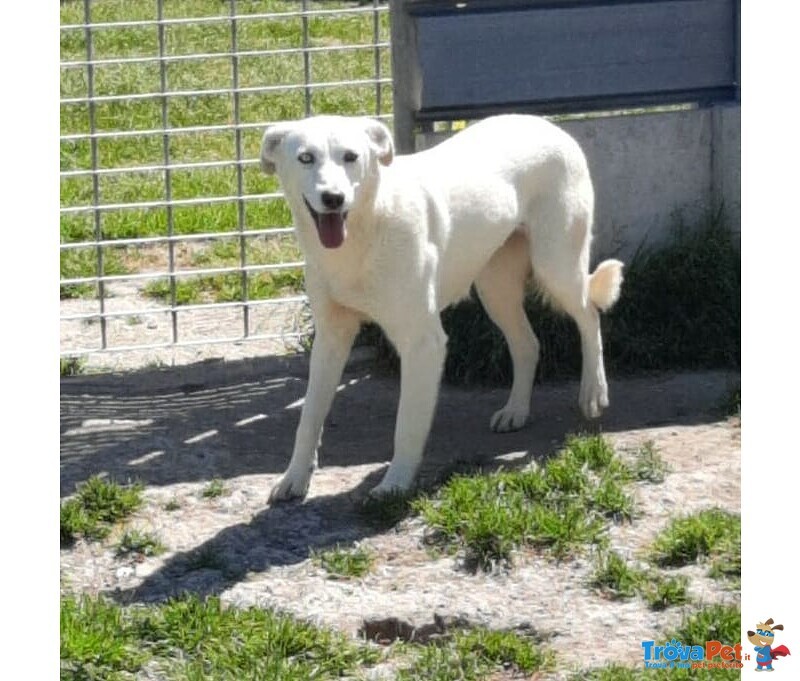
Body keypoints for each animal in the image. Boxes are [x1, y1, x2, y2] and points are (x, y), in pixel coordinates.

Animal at [260, 115, 620, 500]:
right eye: (306, 158)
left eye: (351, 156)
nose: (333, 198)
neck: (363, 233)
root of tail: (547, 123)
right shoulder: (331, 339)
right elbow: (308, 418)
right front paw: (294, 477)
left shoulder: (423, 343)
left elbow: (406, 424)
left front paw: (396, 484)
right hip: (495, 289)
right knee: (528, 344)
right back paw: (516, 410)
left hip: (556, 267)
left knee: (589, 314)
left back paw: (594, 392)